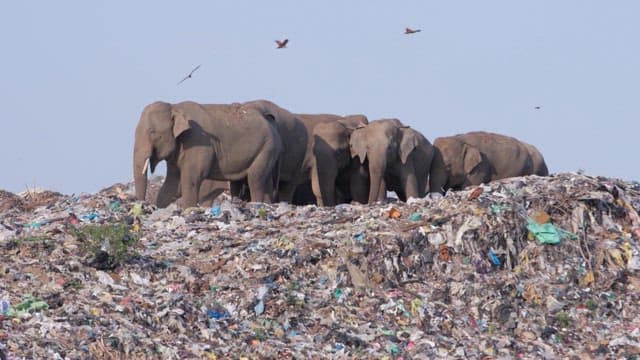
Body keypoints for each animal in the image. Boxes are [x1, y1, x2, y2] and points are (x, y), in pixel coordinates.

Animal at [134, 101, 282, 208]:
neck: (175, 107)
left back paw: (257, 204)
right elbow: (172, 183)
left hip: (267, 147)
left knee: (255, 178)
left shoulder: (198, 141)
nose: (142, 205)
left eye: (152, 132)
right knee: (261, 180)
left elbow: (191, 178)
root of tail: (269, 120)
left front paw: (189, 209)